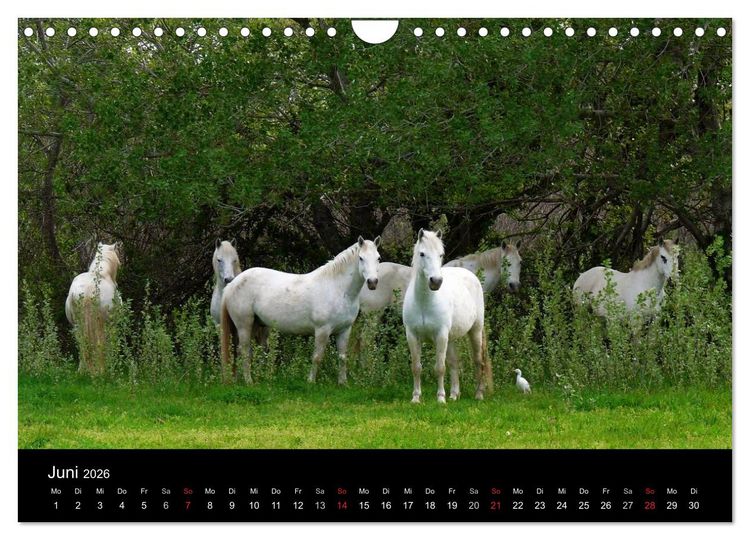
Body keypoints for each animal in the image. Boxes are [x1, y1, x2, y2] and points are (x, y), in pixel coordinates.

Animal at [64, 242, 122, 375]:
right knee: (101, 343)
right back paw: (102, 371)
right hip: (101, 324)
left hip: (77, 325)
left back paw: (82, 370)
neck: (103, 273)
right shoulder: (112, 324)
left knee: (82, 342)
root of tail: (87, 290)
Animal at [221, 236, 381, 384]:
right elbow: (317, 357)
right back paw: (249, 381)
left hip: (254, 324)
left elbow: (342, 357)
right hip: (244, 325)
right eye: (361, 258)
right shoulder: (322, 330)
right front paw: (311, 382)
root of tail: (232, 284)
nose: (372, 282)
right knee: (244, 351)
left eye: (378, 258)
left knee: (244, 352)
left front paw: (343, 383)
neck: (337, 289)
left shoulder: (344, 330)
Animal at [402, 229, 491, 403]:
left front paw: (441, 398)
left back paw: (478, 394)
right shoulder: (412, 336)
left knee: (478, 361)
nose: (436, 281)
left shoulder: (441, 335)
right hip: (451, 339)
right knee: (455, 363)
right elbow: (416, 367)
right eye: (422, 254)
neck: (424, 302)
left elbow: (440, 368)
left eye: (441, 254)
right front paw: (416, 398)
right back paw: (454, 395)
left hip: (475, 331)